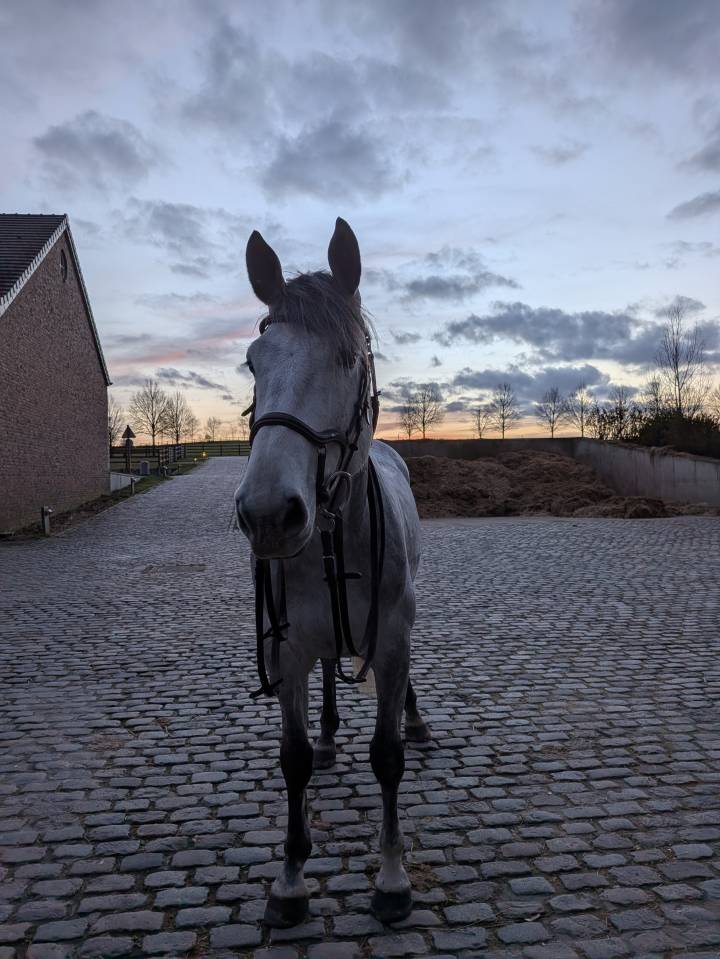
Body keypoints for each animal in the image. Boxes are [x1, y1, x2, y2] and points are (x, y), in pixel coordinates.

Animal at [235, 218, 430, 928]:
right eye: (254, 362)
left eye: (348, 359)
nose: (268, 513)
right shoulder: (286, 647)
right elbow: (291, 760)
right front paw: (291, 880)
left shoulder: (393, 638)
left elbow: (387, 757)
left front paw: (393, 877)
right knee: (327, 672)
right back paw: (326, 734)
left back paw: (415, 719)